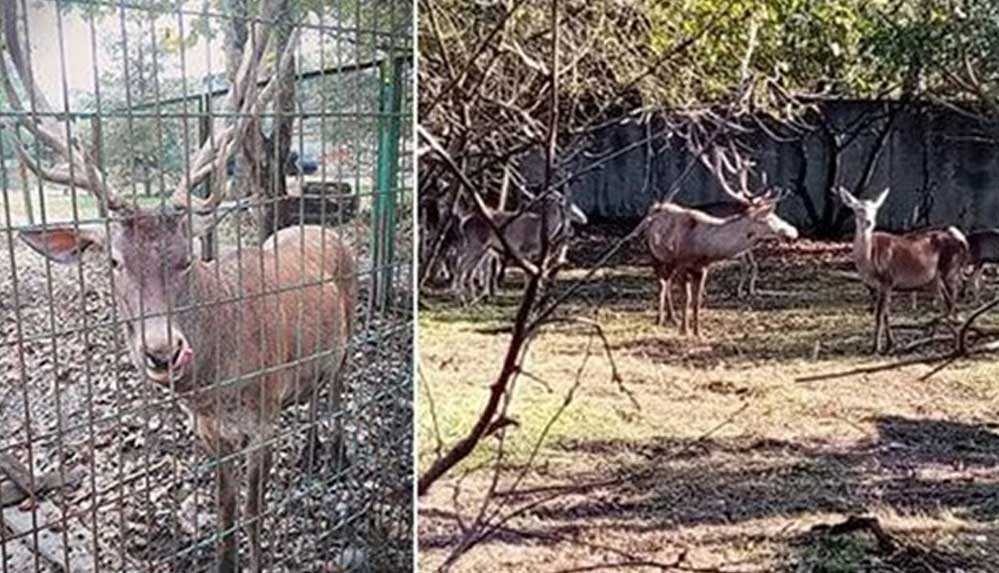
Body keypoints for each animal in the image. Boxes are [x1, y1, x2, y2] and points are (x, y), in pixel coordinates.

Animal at [0, 1, 412, 572]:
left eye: (187, 258)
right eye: (113, 260)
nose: (162, 350)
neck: (215, 389)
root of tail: (328, 231)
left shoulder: (262, 418)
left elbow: (255, 516)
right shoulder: (210, 433)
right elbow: (224, 515)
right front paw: (225, 560)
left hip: (348, 335)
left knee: (335, 390)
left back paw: (330, 455)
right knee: (313, 393)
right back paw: (310, 453)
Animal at [648, 199, 796, 338]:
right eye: (769, 218)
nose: (794, 231)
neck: (702, 247)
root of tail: (655, 208)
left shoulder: (702, 268)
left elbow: (697, 300)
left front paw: (698, 332)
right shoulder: (681, 265)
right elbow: (686, 299)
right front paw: (684, 331)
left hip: (669, 264)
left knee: (667, 283)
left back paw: (671, 318)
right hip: (655, 257)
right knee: (662, 285)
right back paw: (660, 319)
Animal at [836, 185, 968, 350]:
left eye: (875, 209)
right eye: (858, 208)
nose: (869, 222)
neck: (868, 263)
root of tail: (962, 241)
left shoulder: (886, 279)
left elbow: (879, 314)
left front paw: (875, 347)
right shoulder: (879, 286)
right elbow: (886, 313)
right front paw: (890, 343)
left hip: (950, 268)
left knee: (953, 302)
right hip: (938, 277)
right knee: (948, 303)